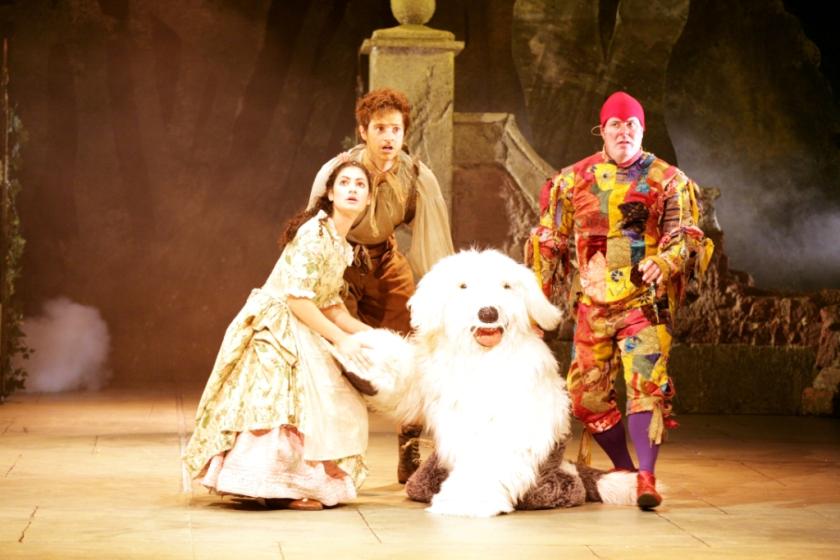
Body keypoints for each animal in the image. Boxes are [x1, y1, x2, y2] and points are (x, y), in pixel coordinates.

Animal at [343, 249, 636, 517]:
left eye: (506, 286)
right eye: (463, 286)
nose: (488, 313)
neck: (481, 357)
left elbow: (496, 452)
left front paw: (466, 500)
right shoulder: (428, 376)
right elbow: (407, 392)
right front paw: (366, 362)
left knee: (563, 483)